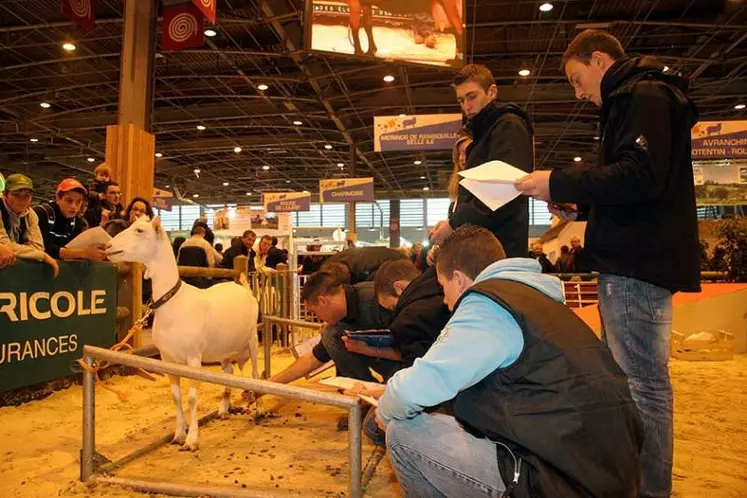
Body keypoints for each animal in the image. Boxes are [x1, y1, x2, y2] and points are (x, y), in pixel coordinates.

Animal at [106, 218, 260, 452]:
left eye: (139, 230)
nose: (107, 247)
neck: (173, 301)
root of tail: (242, 285)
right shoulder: (167, 359)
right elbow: (176, 396)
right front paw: (179, 433)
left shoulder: (194, 357)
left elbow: (192, 398)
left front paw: (192, 439)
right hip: (223, 349)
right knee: (229, 370)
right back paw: (224, 407)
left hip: (252, 340)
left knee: (255, 375)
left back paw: (259, 409)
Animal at [306, 0, 464, 67]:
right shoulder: (365, 4)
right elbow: (368, 25)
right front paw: (371, 51)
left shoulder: (354, 3)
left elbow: (355, 27)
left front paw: (358, 52)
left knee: (459, 29)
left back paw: (456, 60)